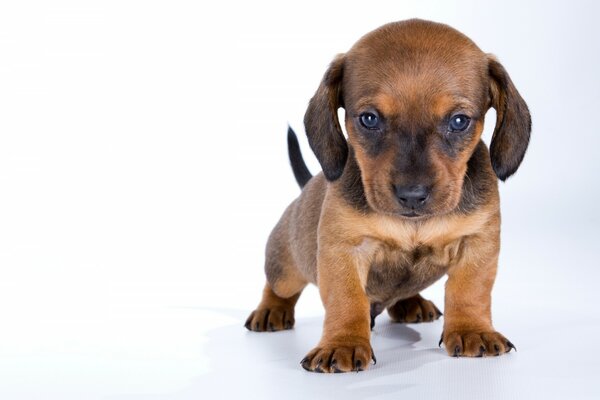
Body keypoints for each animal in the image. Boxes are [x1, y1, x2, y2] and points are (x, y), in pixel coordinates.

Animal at [244, 18, 528, 374]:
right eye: (369, 119)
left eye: (459, 121)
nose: (412, 195)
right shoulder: (344, 250)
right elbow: (347, 299)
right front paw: (343, 343)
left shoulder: (477, 243)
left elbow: (470, 290)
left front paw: (472, 330)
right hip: (286, 268)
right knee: (277, 286)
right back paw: (272, 309)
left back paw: (411, 302)